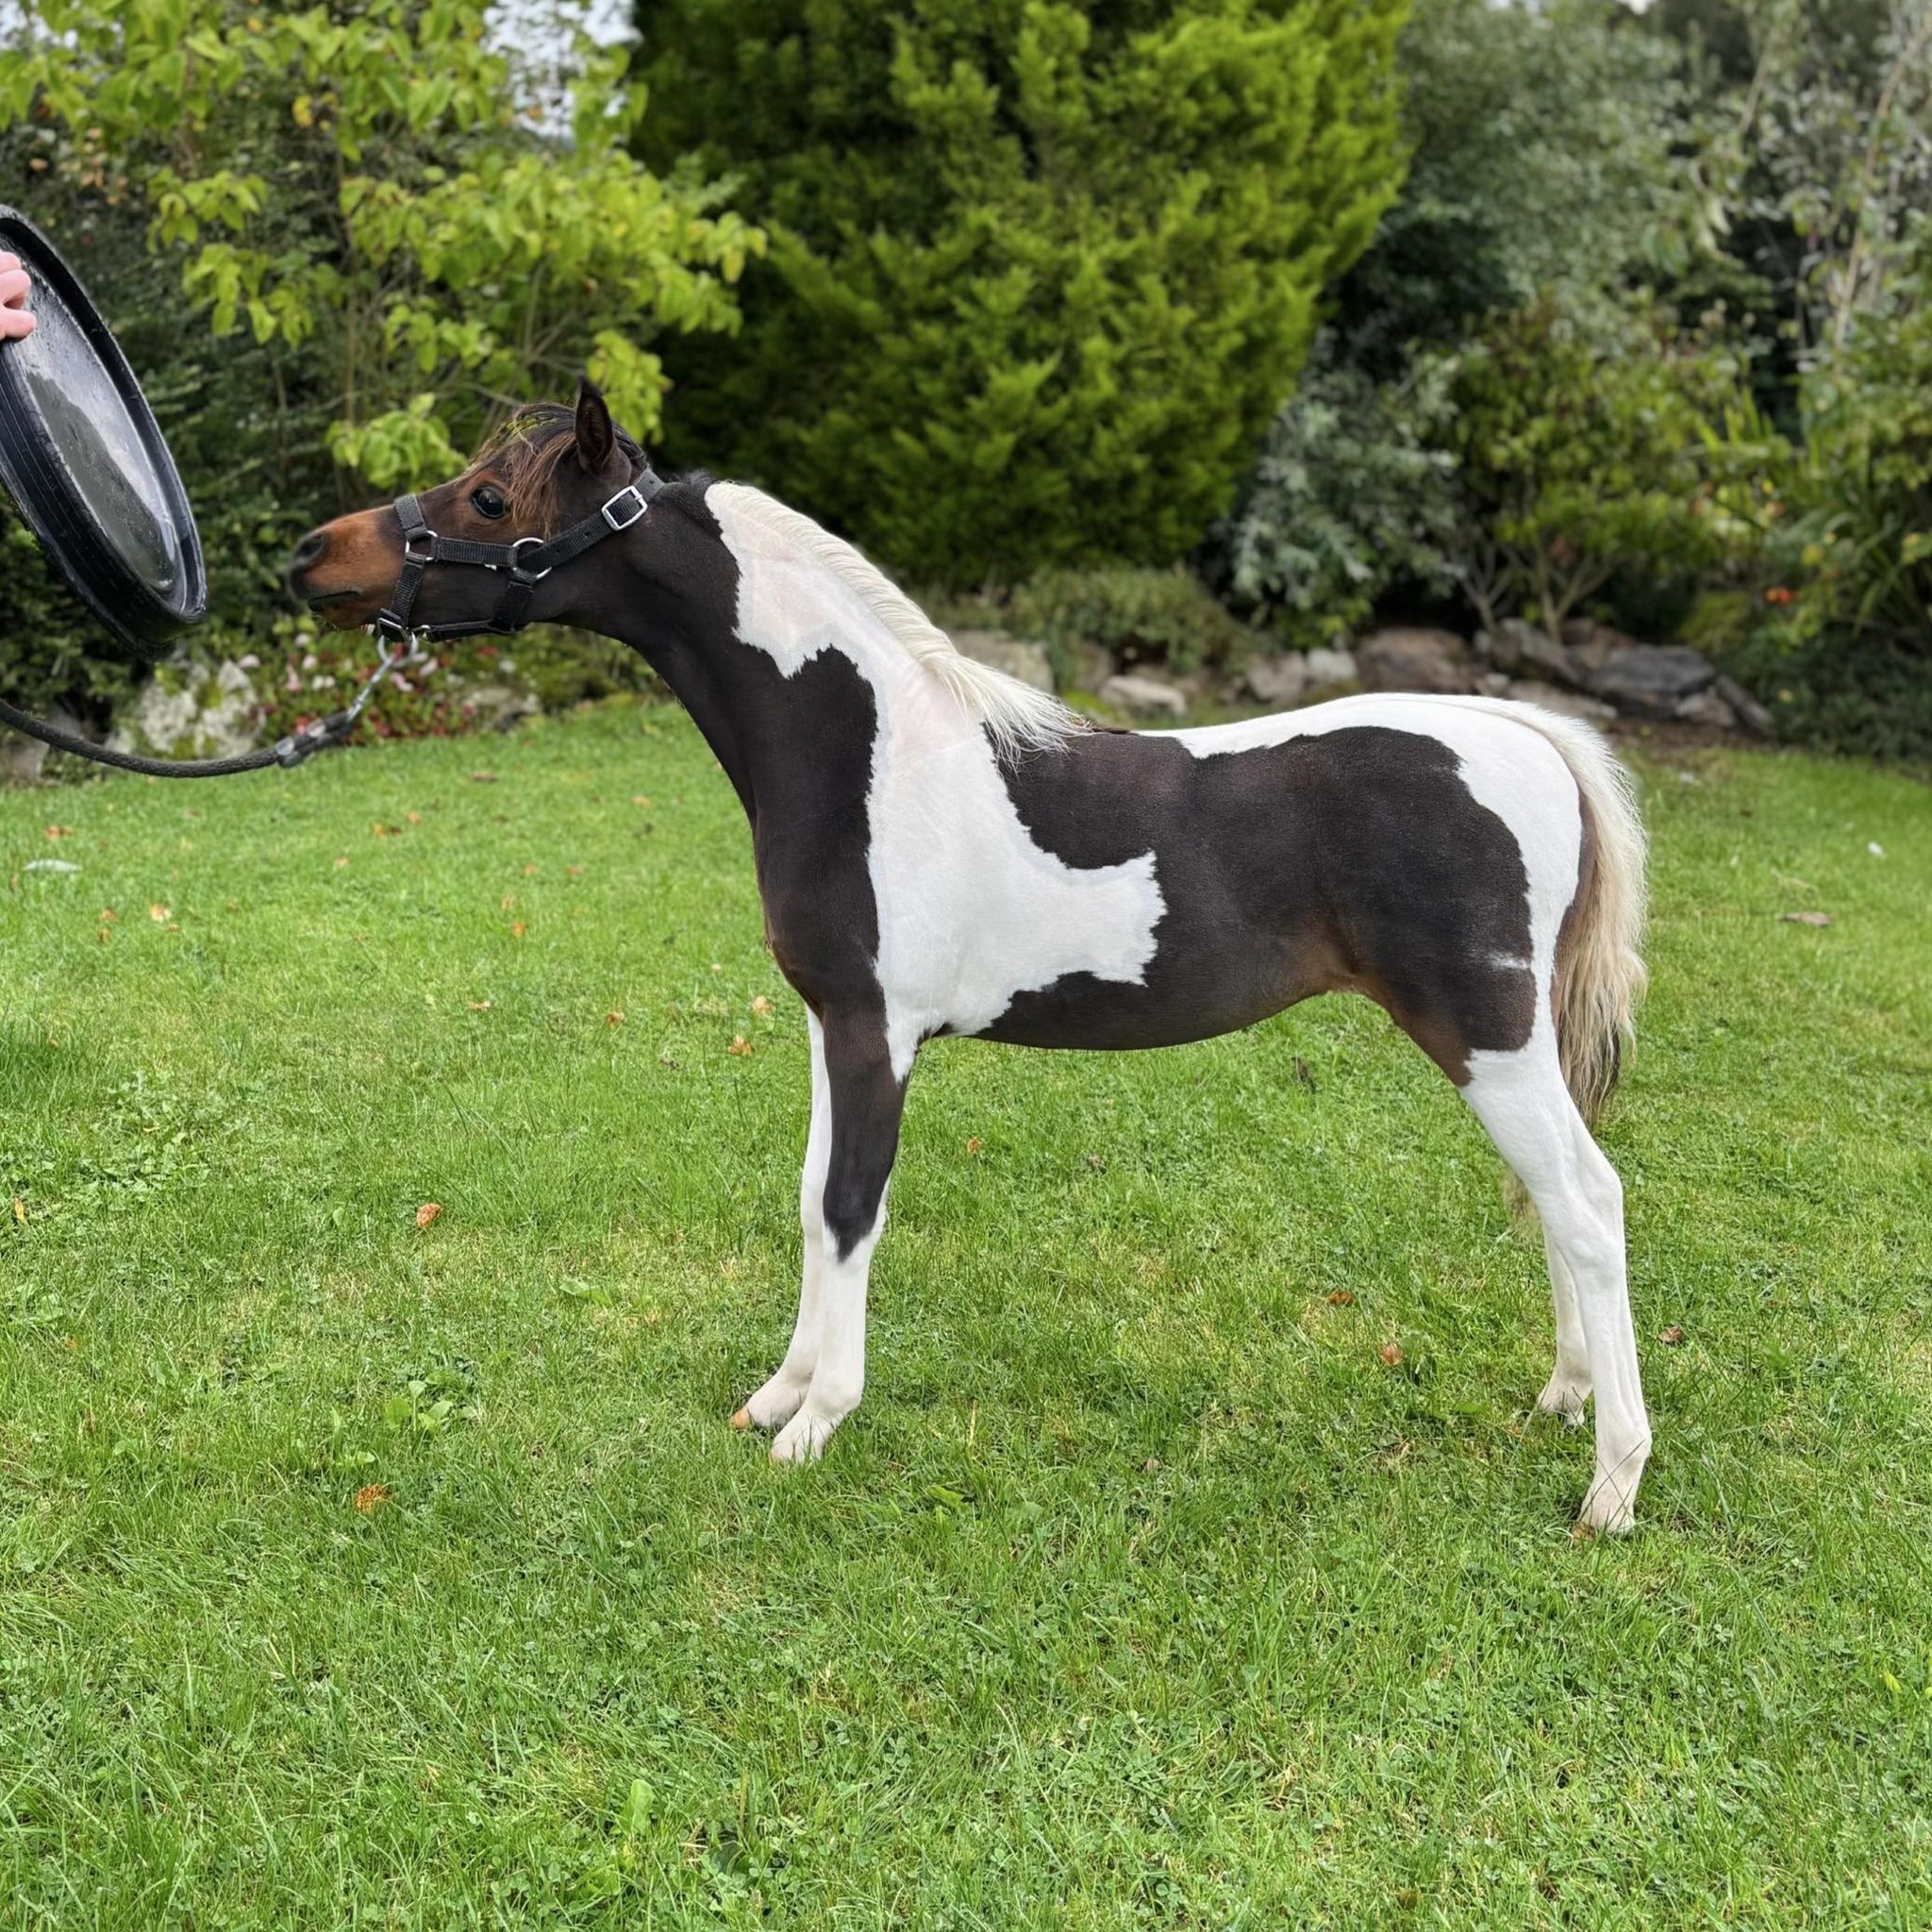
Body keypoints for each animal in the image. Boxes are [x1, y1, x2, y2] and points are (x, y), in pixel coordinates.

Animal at [289, 381, 1652, 1532]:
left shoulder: (875, 1033)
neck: (867, 751)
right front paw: (776, 1394)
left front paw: (815, 1425)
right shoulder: (827, 1024)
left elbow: (852, 1206)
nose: (315, 555)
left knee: (1587, 1202)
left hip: (1485, 1037)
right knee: (1553, 1199)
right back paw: (1563, 1397)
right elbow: (811, 1199)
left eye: (489, 498)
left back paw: (1612, 1485)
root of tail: (1523, 734)